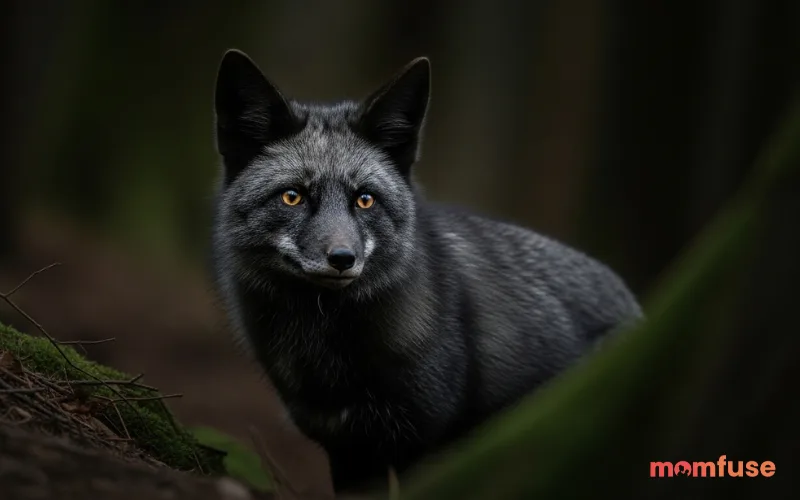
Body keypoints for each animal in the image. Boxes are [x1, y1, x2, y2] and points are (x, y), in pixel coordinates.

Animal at [209, 49, 643, 493]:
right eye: (292, 197)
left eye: (365, 199)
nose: (343, 258)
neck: (327, 355)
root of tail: (632, 298)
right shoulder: (344, 448)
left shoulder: (416, 437)